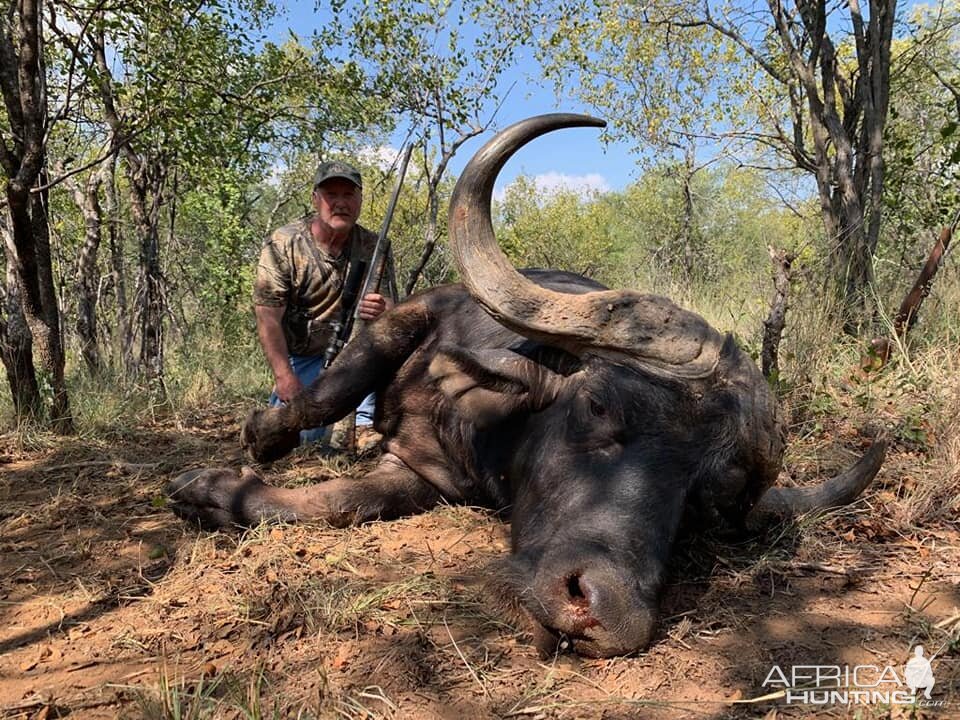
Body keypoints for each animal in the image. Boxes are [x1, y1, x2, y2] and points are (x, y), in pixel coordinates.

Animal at [169, 112, 888, 660]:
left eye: (706, 502)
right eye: (597, 407)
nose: (599, 608)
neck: (485, 434)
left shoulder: (425, 476)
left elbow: (342, 502)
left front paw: (217, 495)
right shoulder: (410, 317)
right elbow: (326, 397)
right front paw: (239, 458)